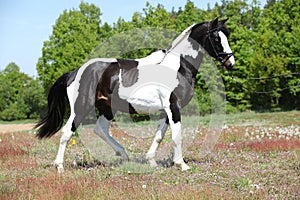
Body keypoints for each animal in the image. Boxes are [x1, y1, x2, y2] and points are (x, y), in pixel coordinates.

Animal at [35, 18, 236, 173]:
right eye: (216, 38)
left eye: (227, 36)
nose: (230, 63)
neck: (178, 66)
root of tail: (75, 72)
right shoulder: (173, 107)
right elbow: (176, 135)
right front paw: (182, 164)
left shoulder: (165, 111)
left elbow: (159, 135)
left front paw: (151, 161)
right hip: (81, 108)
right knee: (66, 132)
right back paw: (60, 166)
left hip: (107, 108)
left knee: (100, 129)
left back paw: (124, 155)